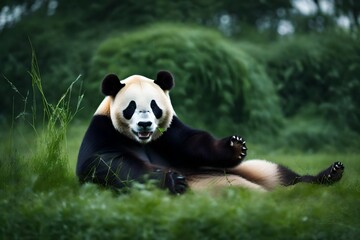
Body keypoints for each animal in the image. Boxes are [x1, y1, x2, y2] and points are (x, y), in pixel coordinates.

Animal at [76, 70, 344, 194]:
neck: (143, 141)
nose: (145, 125)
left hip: (258, 171)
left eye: (154, 106)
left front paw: (235, 147)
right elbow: (111, 165)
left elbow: (193, 143)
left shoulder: (169, 132)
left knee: (280, 174)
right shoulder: (102, 133)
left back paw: (328, 175)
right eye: (131, 107)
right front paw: (172, 180)